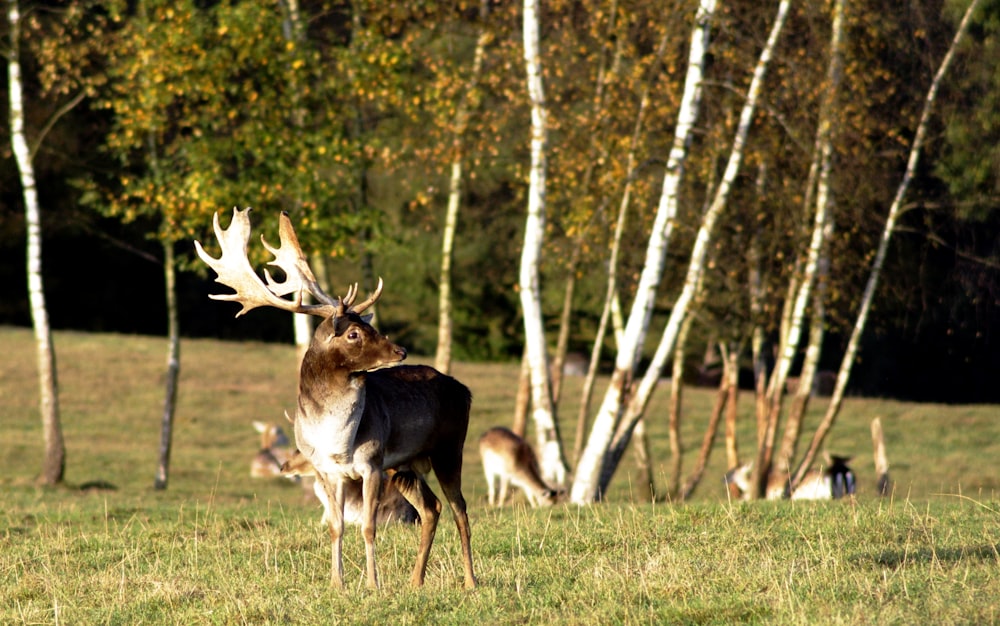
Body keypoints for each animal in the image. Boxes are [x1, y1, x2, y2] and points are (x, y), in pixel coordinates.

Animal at [197, 207, 478, 588]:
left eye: (370, 325)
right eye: (354, 333)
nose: (400, 350)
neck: (337, 442)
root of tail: (465, 390)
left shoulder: (371, 463)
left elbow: (369, 527)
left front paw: (373, 584)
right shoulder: (329, 471)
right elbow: (337, 527)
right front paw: (337, 583)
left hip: (449, 448)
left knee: (460, 509)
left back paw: (471, 581)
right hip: (406, 465)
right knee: (432, 509)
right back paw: (415, 581)